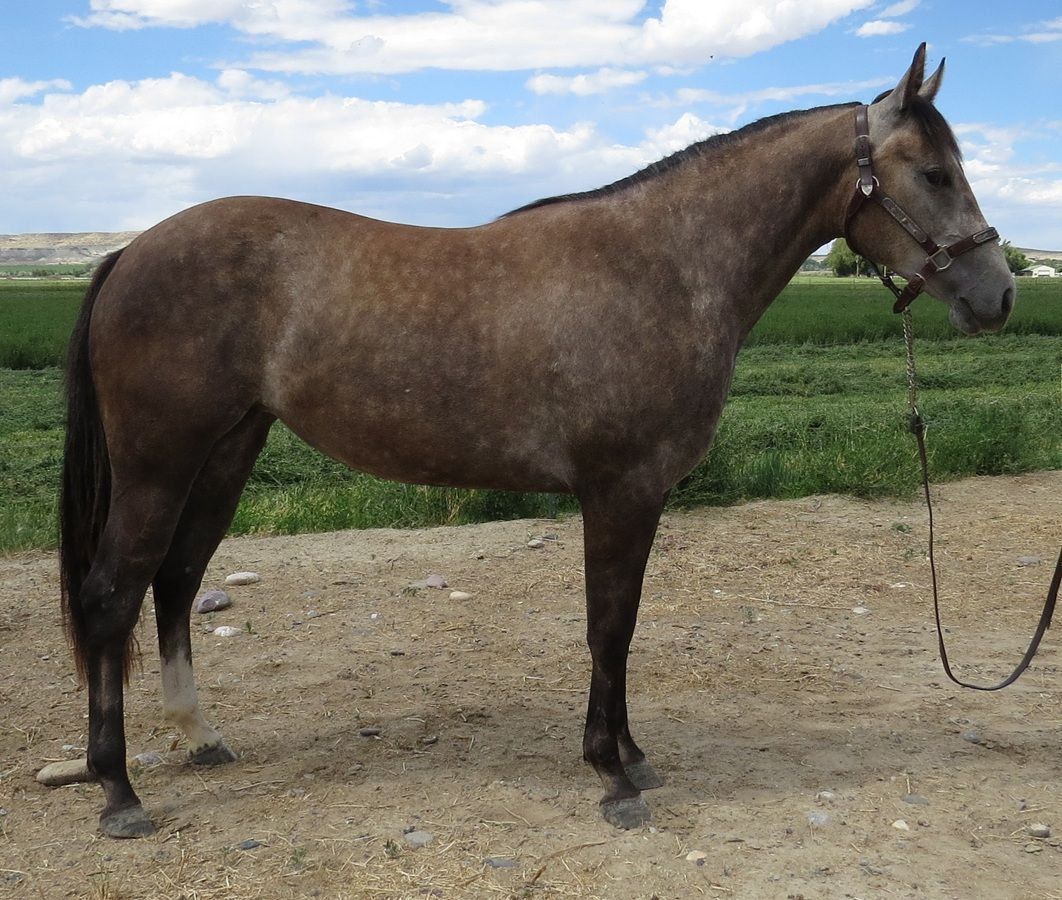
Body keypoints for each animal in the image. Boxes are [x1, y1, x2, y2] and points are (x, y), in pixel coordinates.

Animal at [46, 44, 1014, 838]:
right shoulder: (620, 492)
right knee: (112, 596)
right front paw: (612, 775)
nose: (998, 293)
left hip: (225, 453)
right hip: (159, 464)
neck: (665, 266)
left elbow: (621, 627)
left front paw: (631, 756)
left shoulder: (635, 499)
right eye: (934, 173)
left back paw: (199, 736)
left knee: (174, 582)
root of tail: (130, 253)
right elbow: (608, 626)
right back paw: (119, 793)